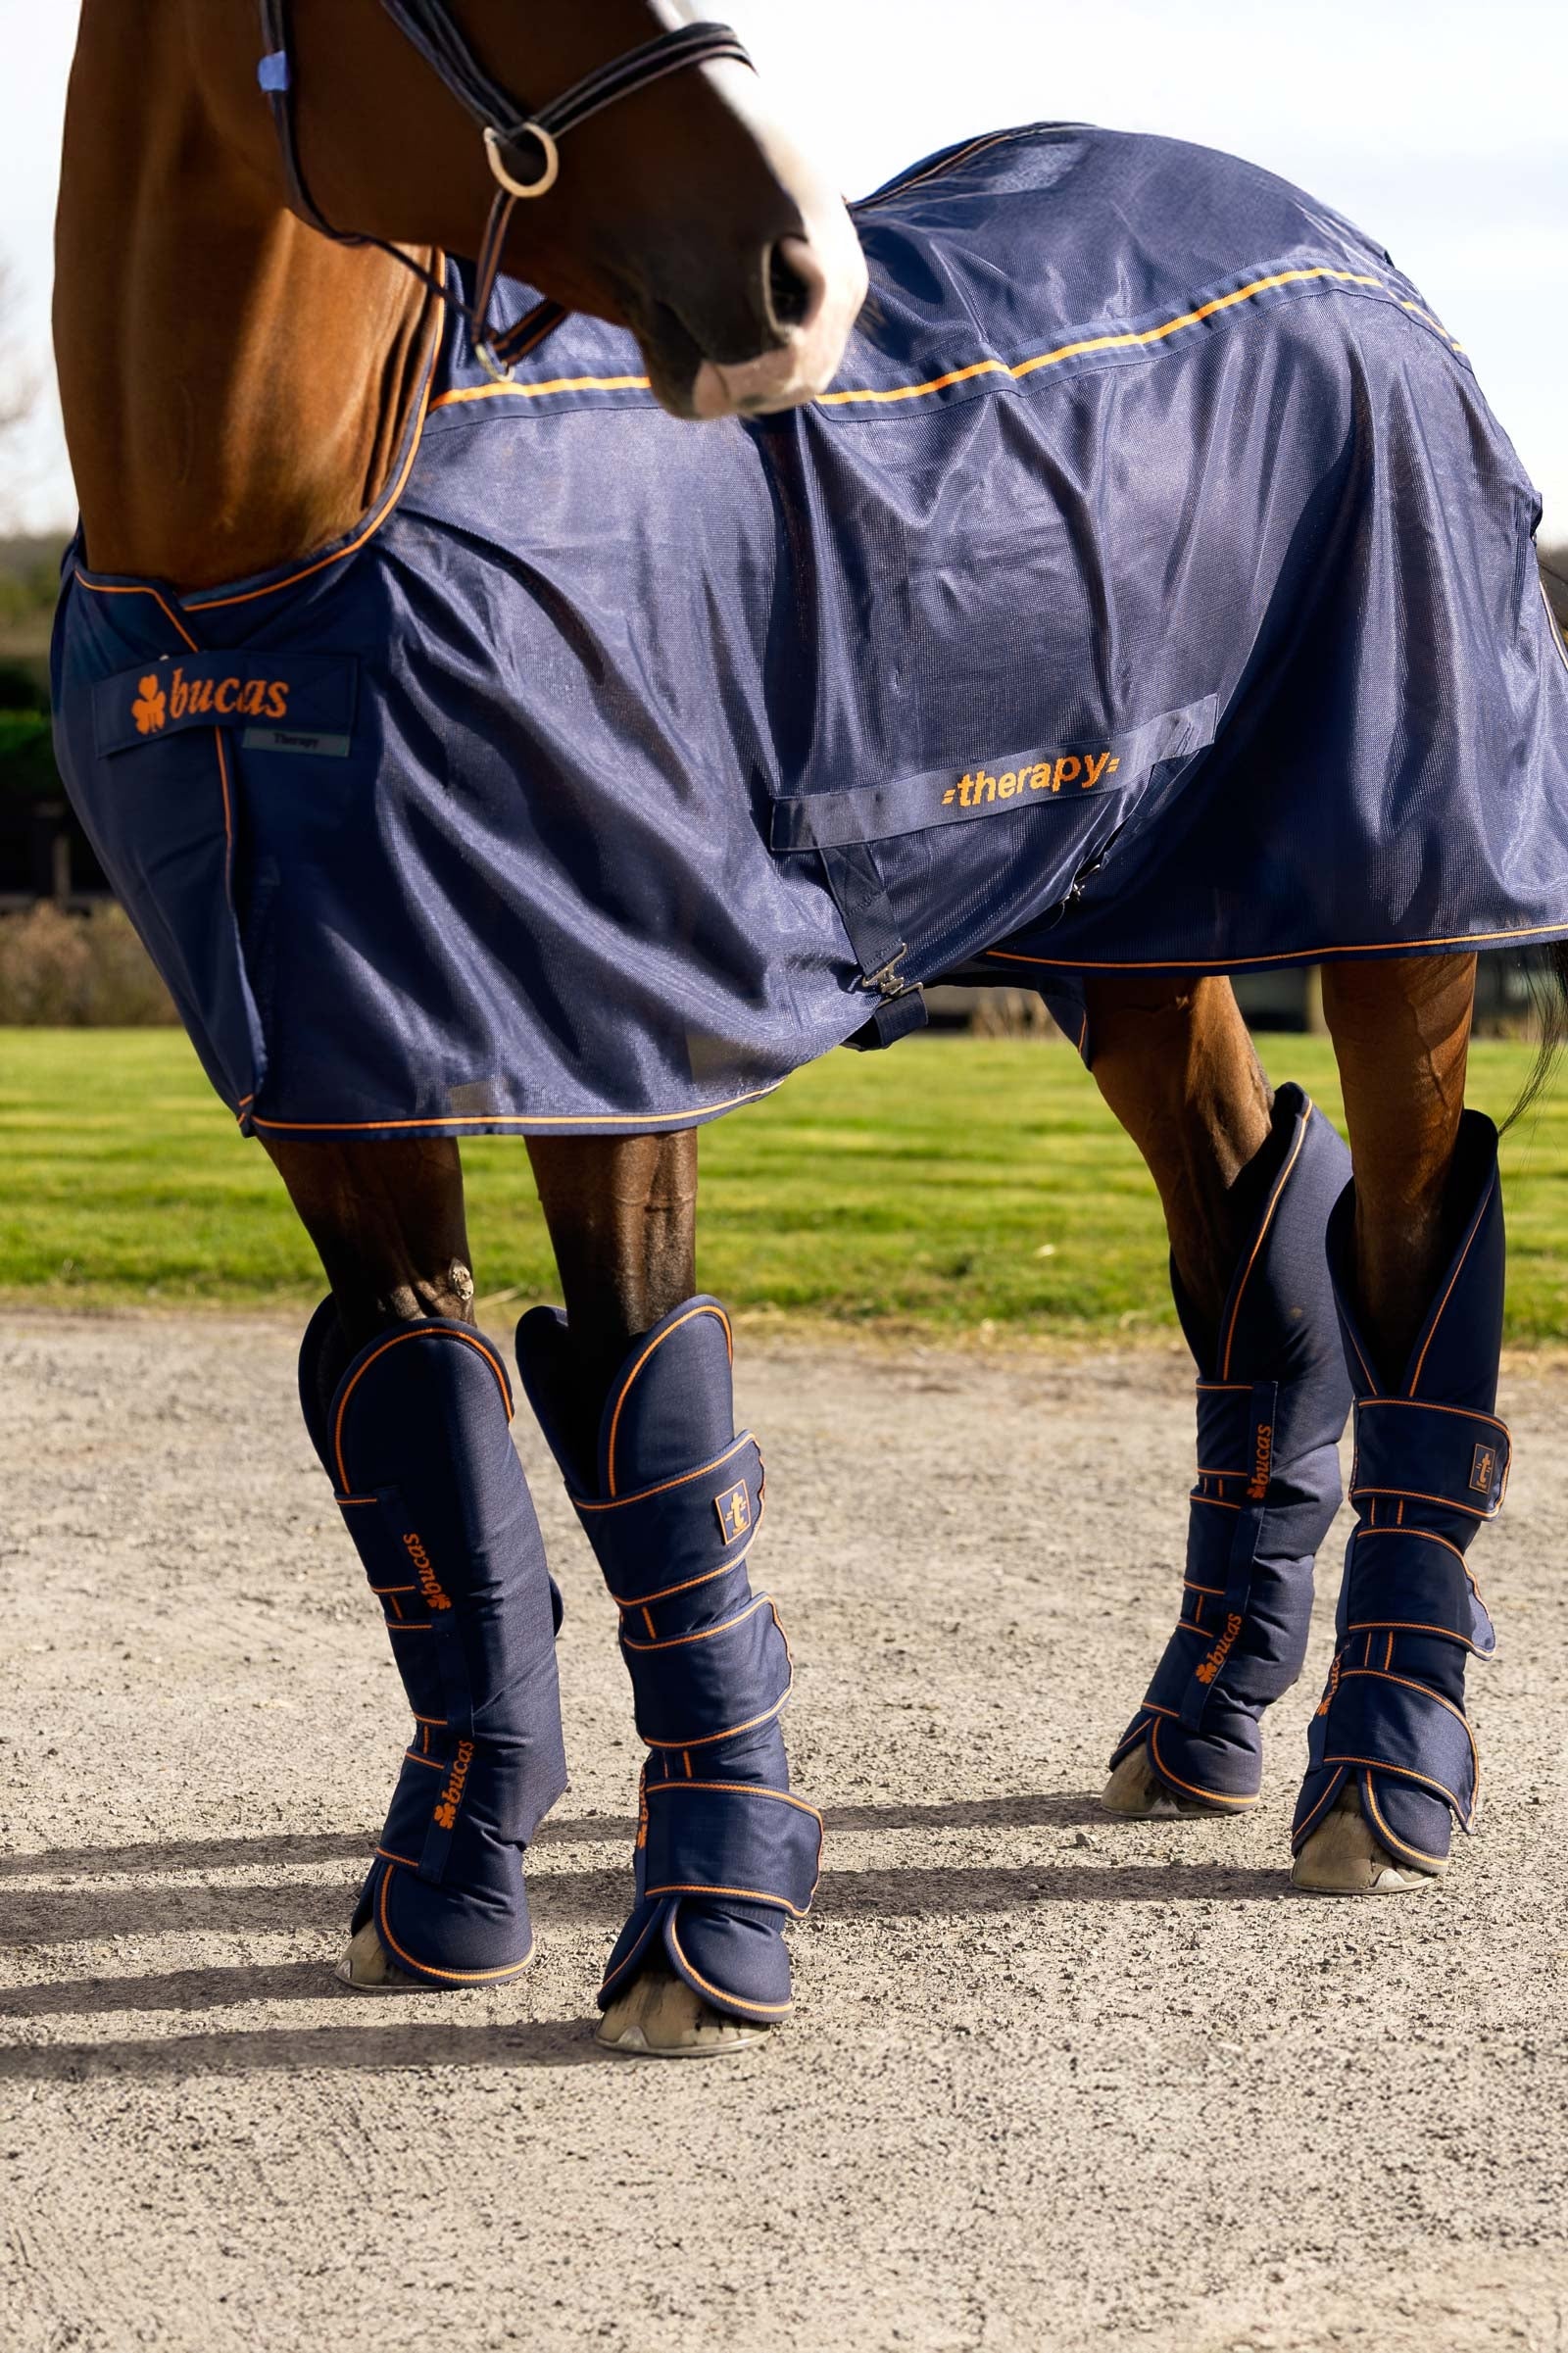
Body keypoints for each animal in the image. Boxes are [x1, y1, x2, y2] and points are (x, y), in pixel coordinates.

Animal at [51, 0, 1568, 2057]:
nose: (797, 278)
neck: (273, 554)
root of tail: (1353, 255)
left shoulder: (610, 1041)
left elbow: (650, 1443)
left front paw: (710, 1933)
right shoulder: (342, 1074)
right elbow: (425, 1449)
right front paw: (449, 1892)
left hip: (1401, 905)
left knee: (1412, 1250)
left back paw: (1385, 1772)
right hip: (1141, 934)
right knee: (1253, 1257)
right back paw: (1197, 1728)